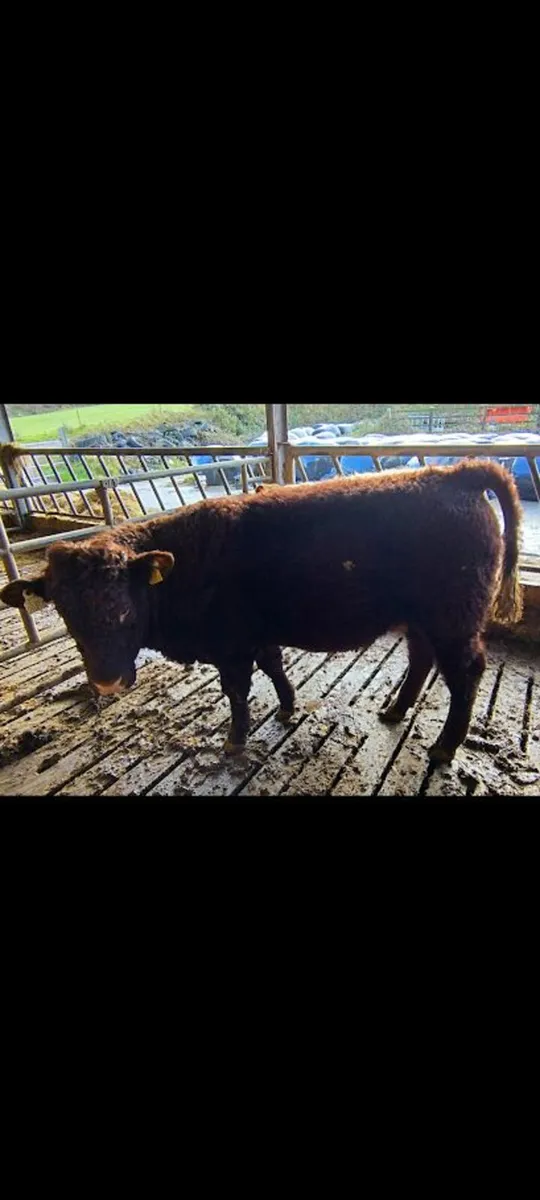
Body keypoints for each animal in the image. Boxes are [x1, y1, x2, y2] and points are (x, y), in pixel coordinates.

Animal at [0, 460, 523, 764]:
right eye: (65, 611)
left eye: (125, 605)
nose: (107, 681)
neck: (188, 562)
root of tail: (454, 474)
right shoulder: (257, 634)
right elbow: (273, 666)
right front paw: (288, 707)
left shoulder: (230, 647)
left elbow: (237, 691)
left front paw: (235, 740)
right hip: (421, 617)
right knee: (420, 658)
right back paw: (394, 710)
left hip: (454, 620)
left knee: (464, 674)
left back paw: (443, 747)